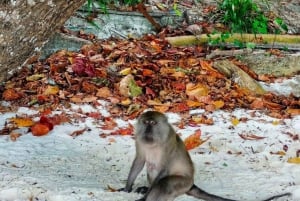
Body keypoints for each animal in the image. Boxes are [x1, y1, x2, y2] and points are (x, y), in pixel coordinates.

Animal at [119, 110, 290, 200]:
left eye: (153, 123)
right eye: (146, 123)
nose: (148, 130)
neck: (154, 141)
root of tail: (191, 183)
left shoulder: (168, 142)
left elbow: (163, 169)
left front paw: (145, 197)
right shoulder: (139, 139)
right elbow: (139, 161)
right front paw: (127, 188)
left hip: (183, 183)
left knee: (164, 183)